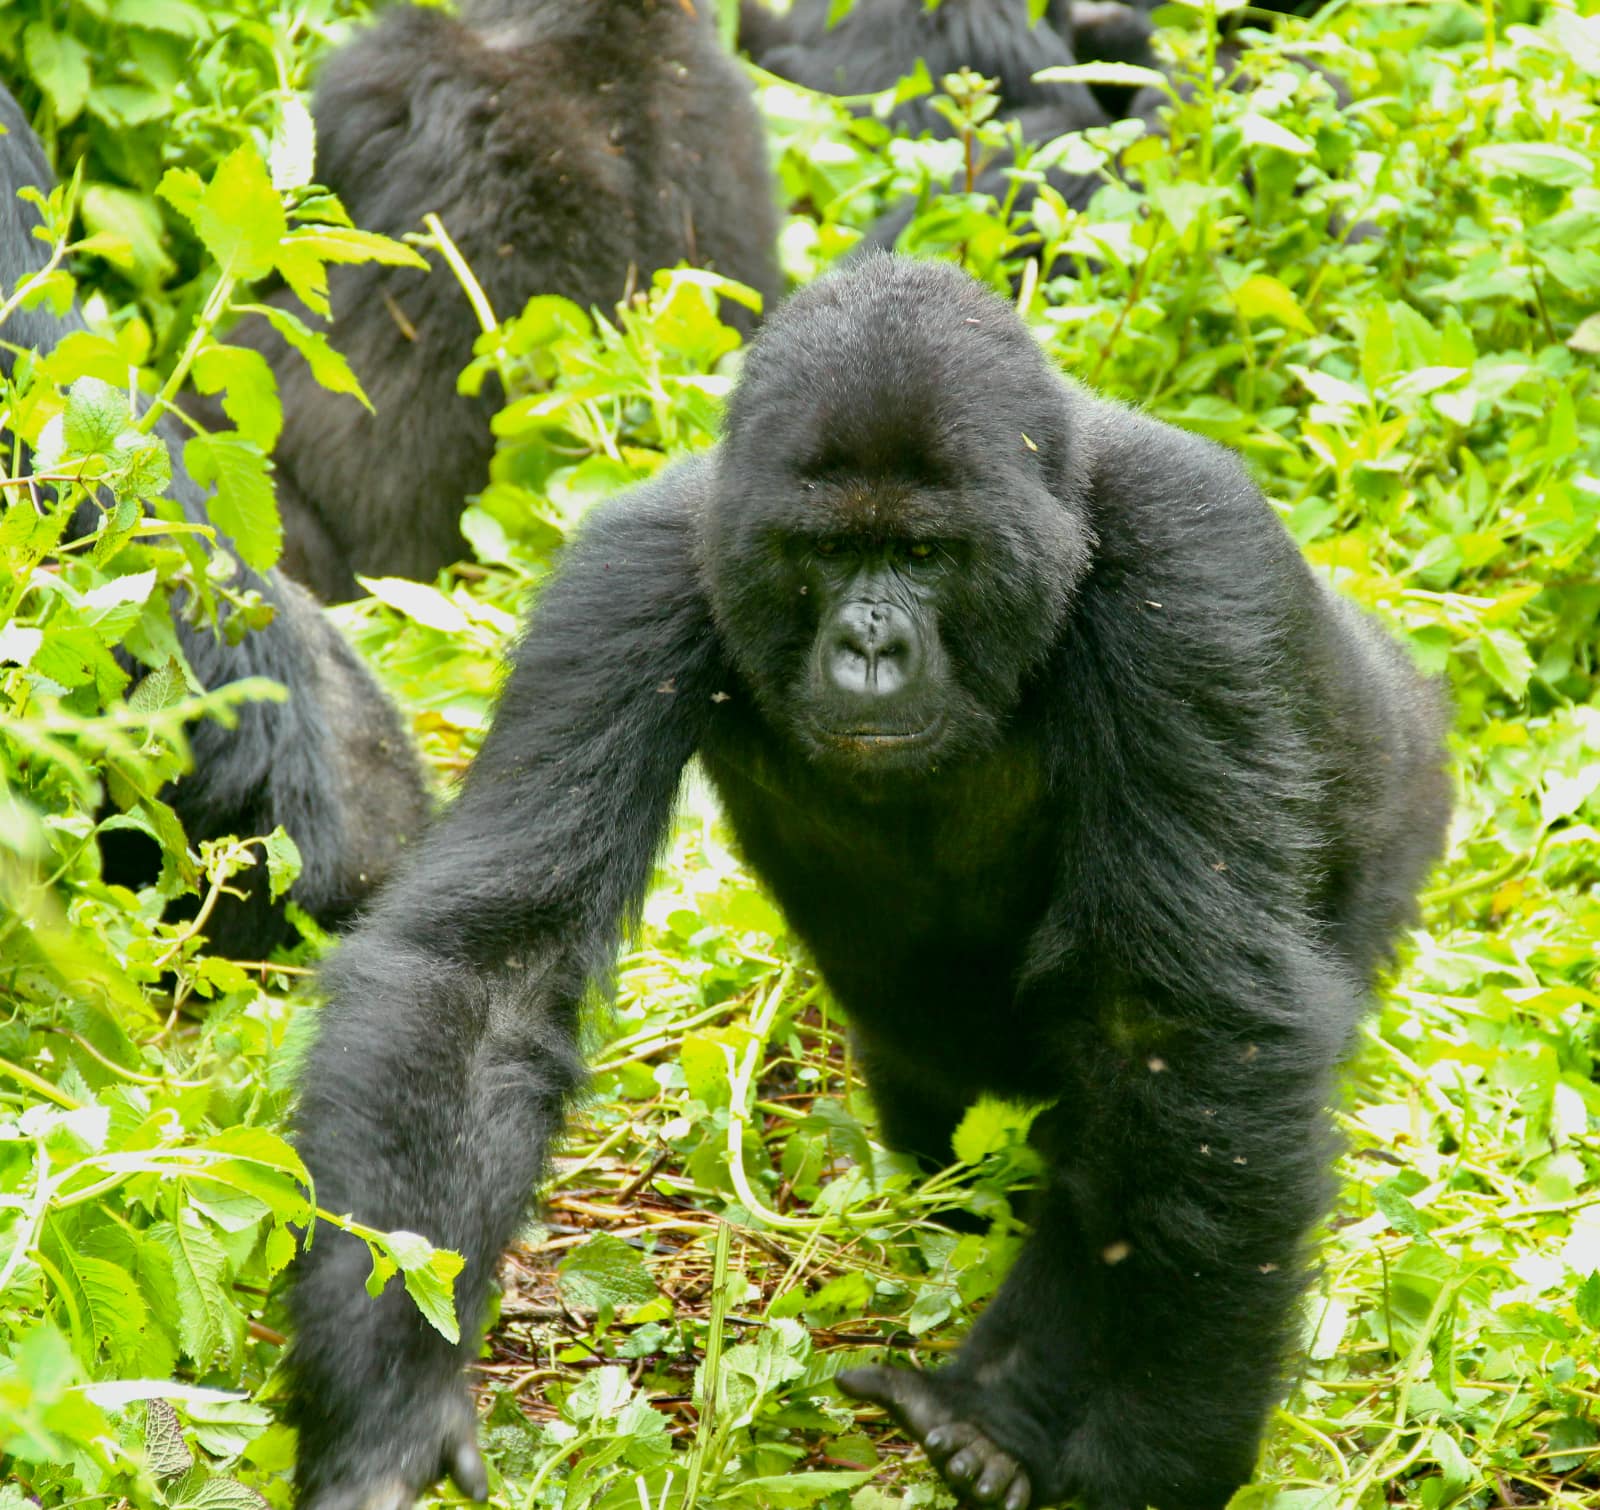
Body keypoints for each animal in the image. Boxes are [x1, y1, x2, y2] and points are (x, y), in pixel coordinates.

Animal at [288, 259, 1452, 1510]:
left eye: (927, 556)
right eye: (824, 553)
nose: (872, 647)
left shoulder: (1191, 567)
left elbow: (1179, 1027)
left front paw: (1152, 1448)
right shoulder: (631, 575)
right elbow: (490, 972)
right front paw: (388, 1394)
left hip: (1404, 803)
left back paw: (999, 1411)